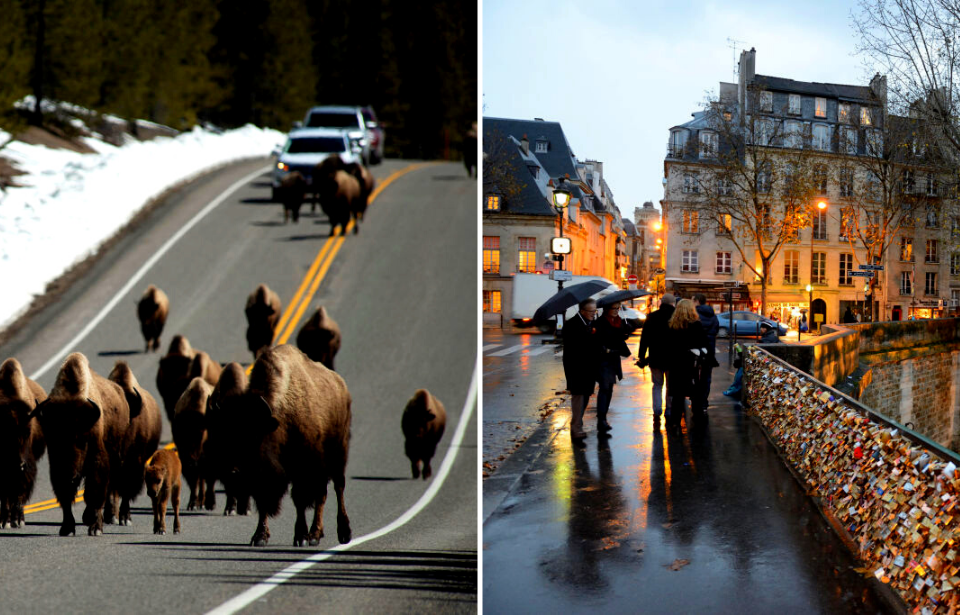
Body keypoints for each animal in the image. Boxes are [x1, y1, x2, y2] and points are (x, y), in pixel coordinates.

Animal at [0, 360, 46, 528]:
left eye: (28, 432)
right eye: (3, 434)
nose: (18, 465)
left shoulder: (26, 470)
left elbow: (19, 494)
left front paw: (18, 520)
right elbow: (5, 495)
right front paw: (5, 521)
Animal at [30, 354, 131, 536]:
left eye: (83, 440)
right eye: (55, 440)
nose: (70, 474)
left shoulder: (97, 461)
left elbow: (94, 492)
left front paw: (95, 527)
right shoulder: (56, 467)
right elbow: (65, 495)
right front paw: (67, 528)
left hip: (117, 456)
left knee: (110, 486)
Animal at [214, 346, 352, 548]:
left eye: (254, 436)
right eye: (222, 436)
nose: (232, 472)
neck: (278, 421)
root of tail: (341, 386)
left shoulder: (301, 468)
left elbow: (299, 499)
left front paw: (301, 537)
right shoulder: (262, 477)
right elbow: (263, 501)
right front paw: (259, 536)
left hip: (337, 455)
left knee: (337, 488)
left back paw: (342, 533)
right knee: (322, 495)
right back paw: (316, 534)